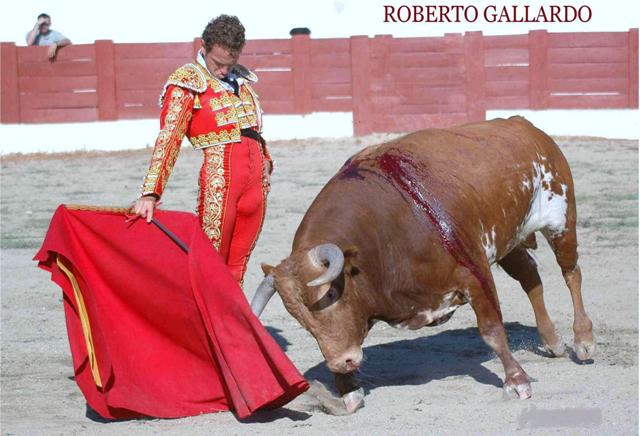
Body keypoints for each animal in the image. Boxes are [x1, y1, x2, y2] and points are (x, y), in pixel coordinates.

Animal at [249, 116, 596, 412]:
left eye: (331, 294)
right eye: (295, 313)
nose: (341, 363)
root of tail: (526, 126)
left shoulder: (474, 273)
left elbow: (492, 330)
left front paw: (517, 381)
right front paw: (348, 392)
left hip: (561, 220)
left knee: (571, 273)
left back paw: (583, 341)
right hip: (509, 241)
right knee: (531, 278)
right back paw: (552, 341)